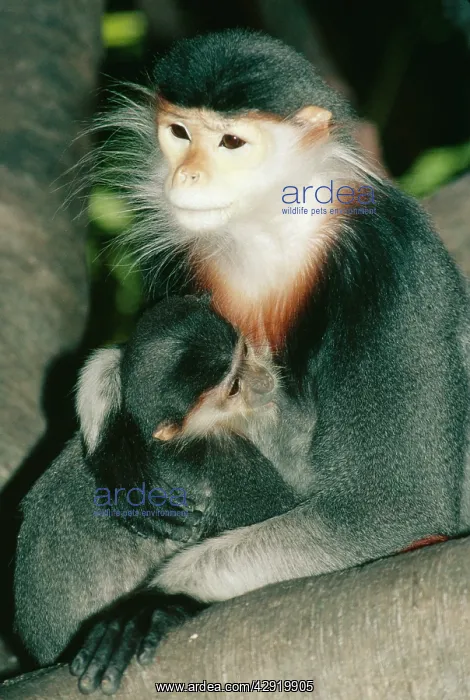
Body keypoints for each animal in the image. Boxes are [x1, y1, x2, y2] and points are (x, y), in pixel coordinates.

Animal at [65, 27, 470, 693]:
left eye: (231, 142)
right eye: (179, 133)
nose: (189, 176)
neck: (270, 232)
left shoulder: (388, 263)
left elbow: (387, 504)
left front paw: (156, 601)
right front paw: (112, 428)